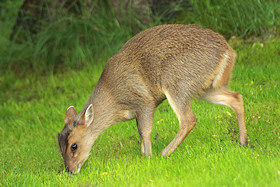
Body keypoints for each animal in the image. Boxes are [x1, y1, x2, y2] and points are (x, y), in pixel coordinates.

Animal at [57, 24, 247, 174]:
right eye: (59, 146)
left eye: (74, 146)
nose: (70, 171)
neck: (114, 98)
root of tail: (228, 52)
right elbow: (140, 131)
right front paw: (143, 154)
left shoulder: (144, 101)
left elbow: (144, 131)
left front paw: (148, 157)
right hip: (205, 87)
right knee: (236, 98)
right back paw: (243, 142)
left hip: (178, 82)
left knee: (188, 119)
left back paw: (165, 152)